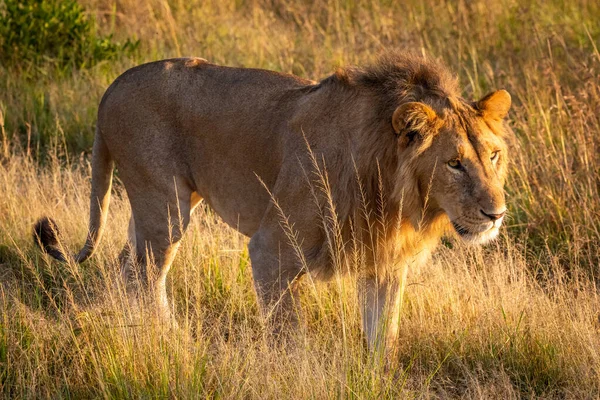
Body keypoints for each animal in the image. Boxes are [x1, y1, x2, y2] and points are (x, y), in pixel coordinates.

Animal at [32, 51, 510, 352]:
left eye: (492, 156)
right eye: (454, 164)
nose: (497, 214)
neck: (392, 190)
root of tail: (113, 86)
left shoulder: (385, 265)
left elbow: (383, 342)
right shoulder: (271, 251)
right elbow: (288, 340)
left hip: (156, 206)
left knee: (125, 267)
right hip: (164, 206)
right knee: (146, 276)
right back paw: (172, 342)